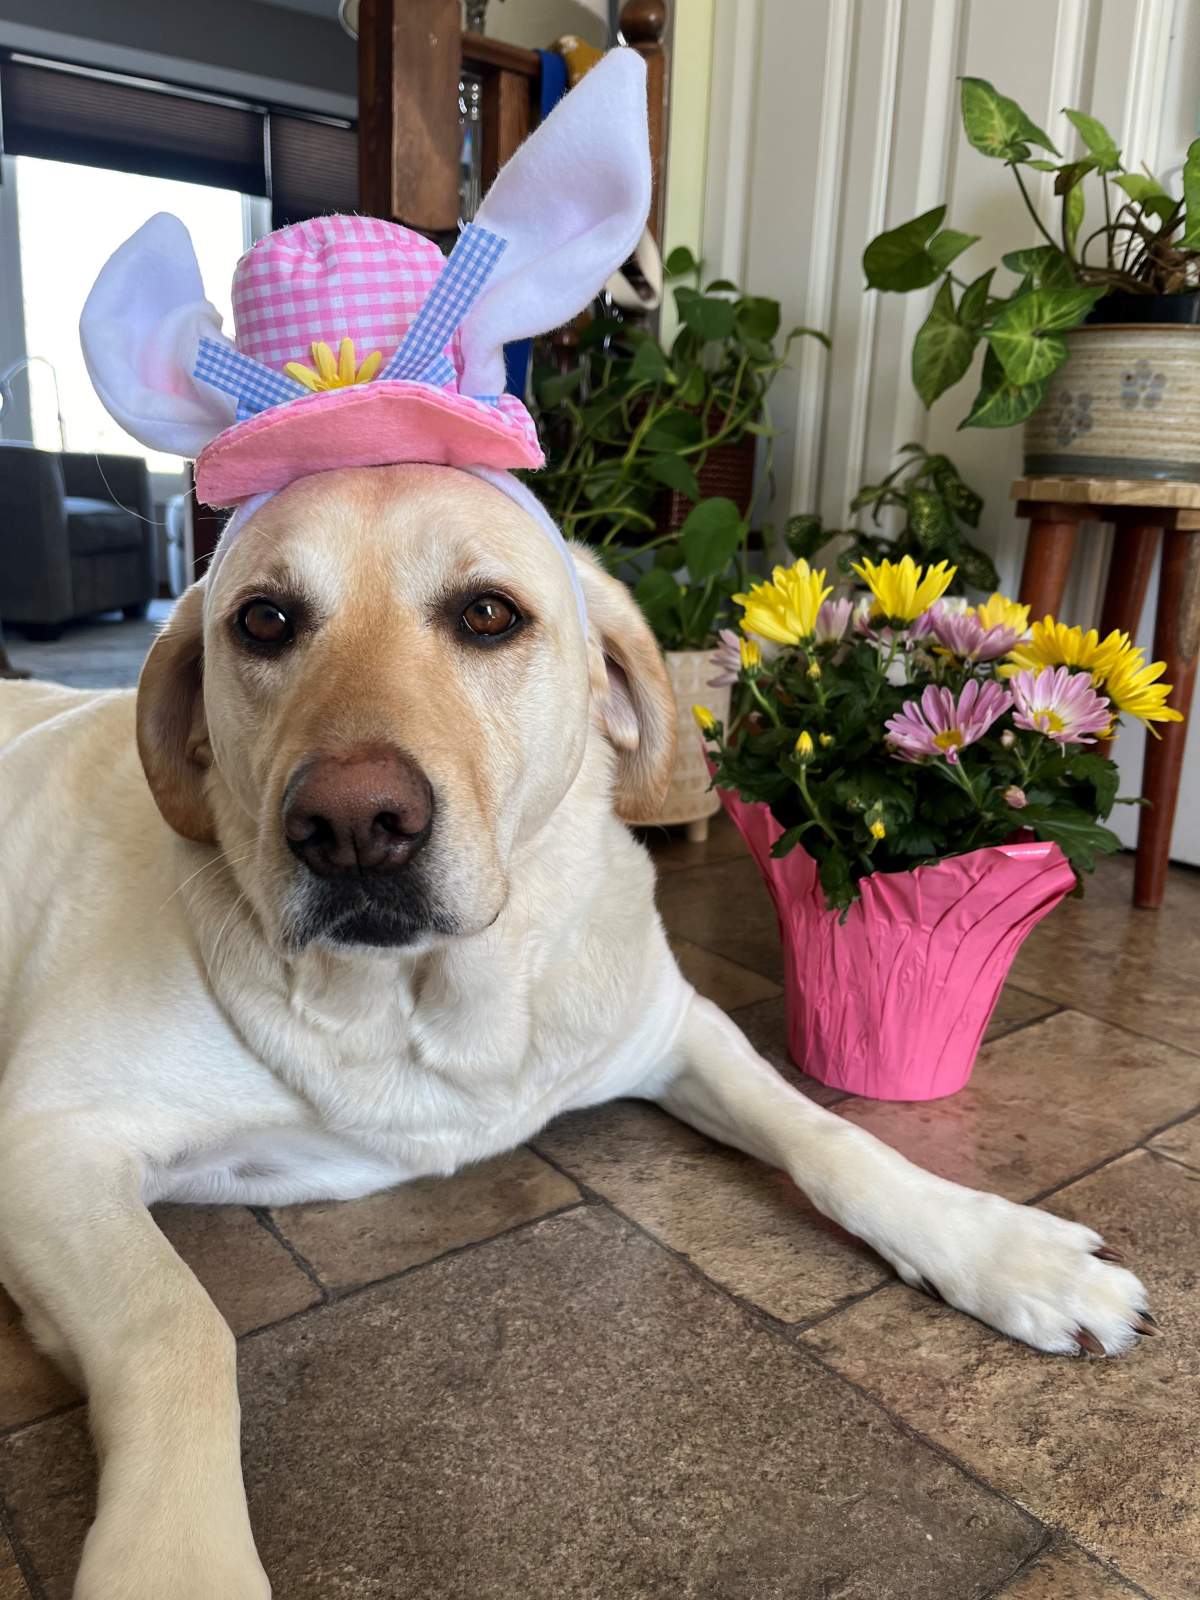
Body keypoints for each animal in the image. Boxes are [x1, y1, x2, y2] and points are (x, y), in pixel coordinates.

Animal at [0, 464, 1153, 1598]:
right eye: (265, 620)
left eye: (487, 614)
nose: (352, 828)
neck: (432, 999)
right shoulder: (45, 1143)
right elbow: (178, 1325)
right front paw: (176, 1558)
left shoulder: (677, 1027)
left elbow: (833, 1138)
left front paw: (1005, 1253)